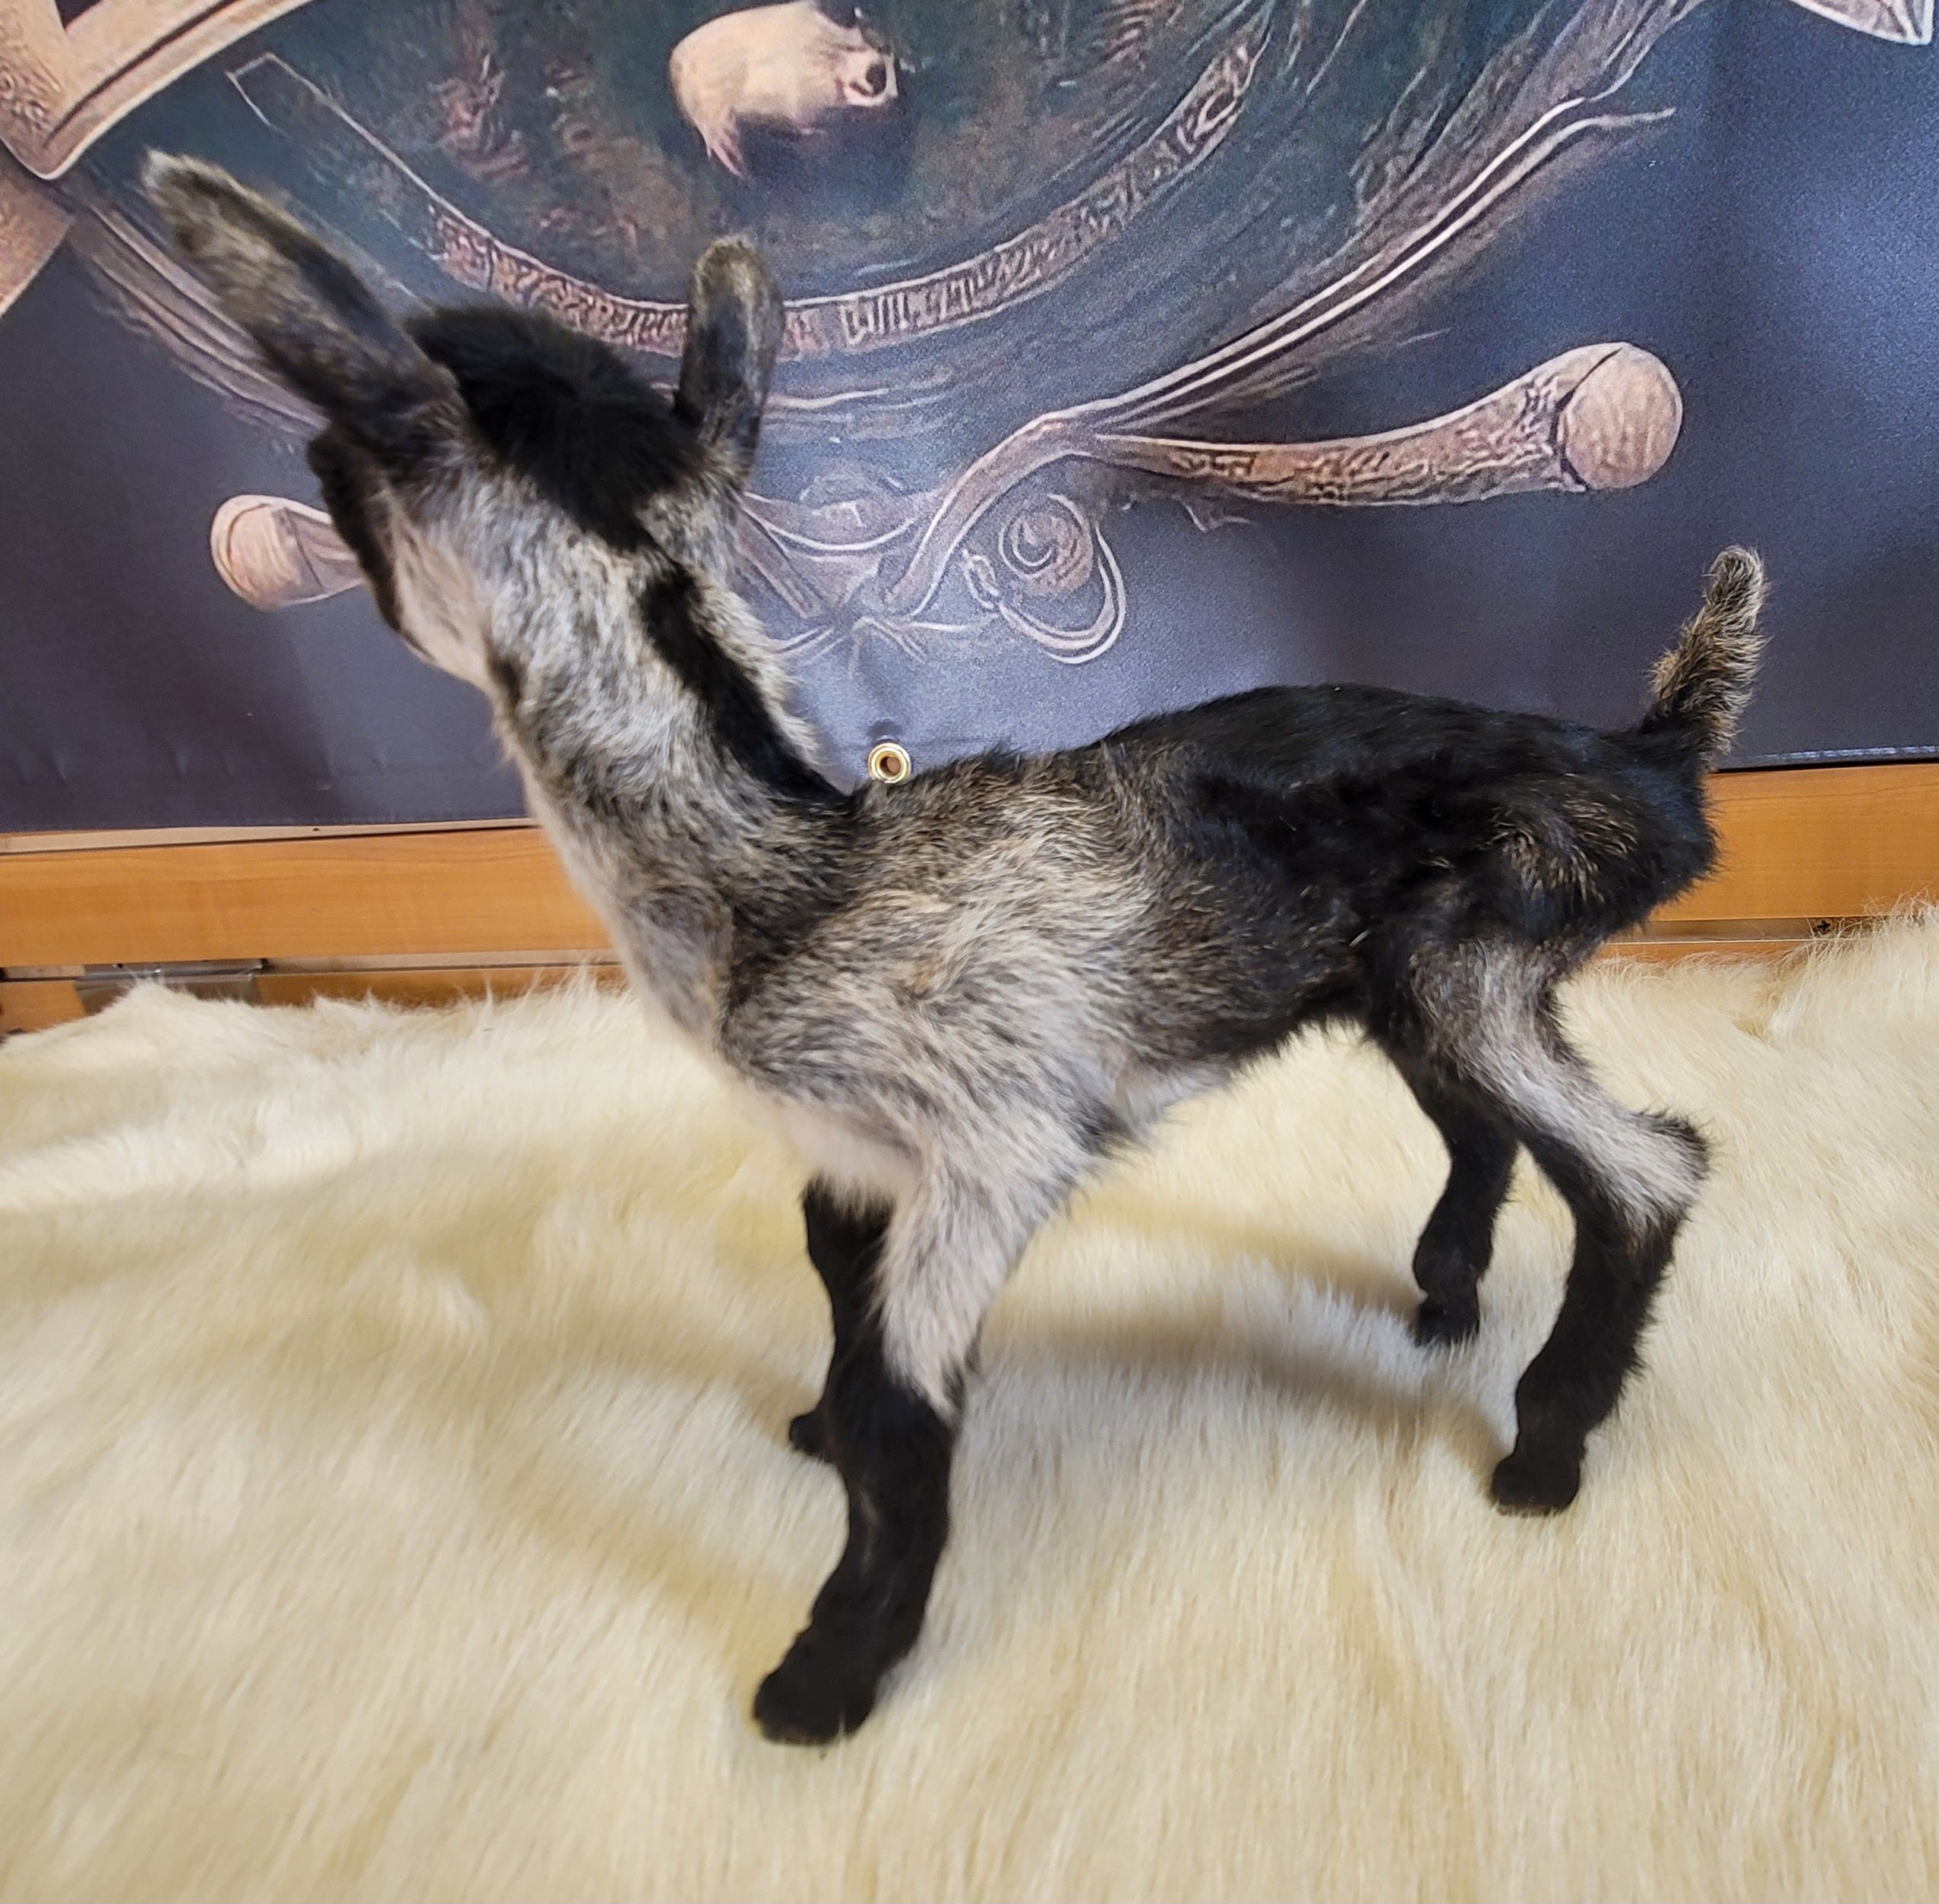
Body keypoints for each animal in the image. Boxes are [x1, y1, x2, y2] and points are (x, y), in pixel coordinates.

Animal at [143, 153, 1764, 1745]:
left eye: (349, 461)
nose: (300, 481)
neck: (788, 866)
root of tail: (1651, 759)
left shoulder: (996, 1136)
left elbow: (899, 1396)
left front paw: (824, 1674)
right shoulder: (851, 1152)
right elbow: (834, 1296)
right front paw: (806, 1434)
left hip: (1483, 936)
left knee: (1646, 1167)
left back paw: (1541, 1452)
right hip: (1411, 970)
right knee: (1488, 1124)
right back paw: (1439, 1298)